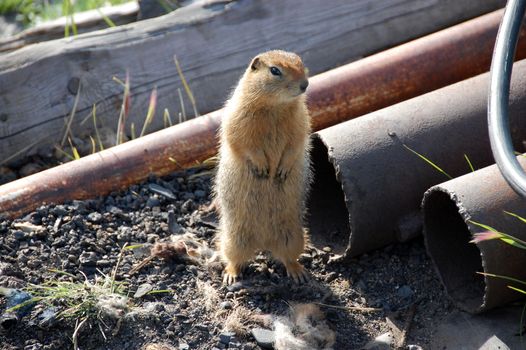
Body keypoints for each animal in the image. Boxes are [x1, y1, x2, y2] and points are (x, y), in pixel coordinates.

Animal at [216, 50, 314, 284]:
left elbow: (297, 141)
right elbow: (241, 140)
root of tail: (264, 243)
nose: (305, 84)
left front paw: (281, 169)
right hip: (234, 238)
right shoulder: (238, 115)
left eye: (301, 63)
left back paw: (298, 273)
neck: (275, 106)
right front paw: (262, 168)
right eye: (275, 70)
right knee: (234, 258)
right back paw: (231, 275)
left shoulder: (301, 119)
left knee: (288, 257)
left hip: (293, 236)